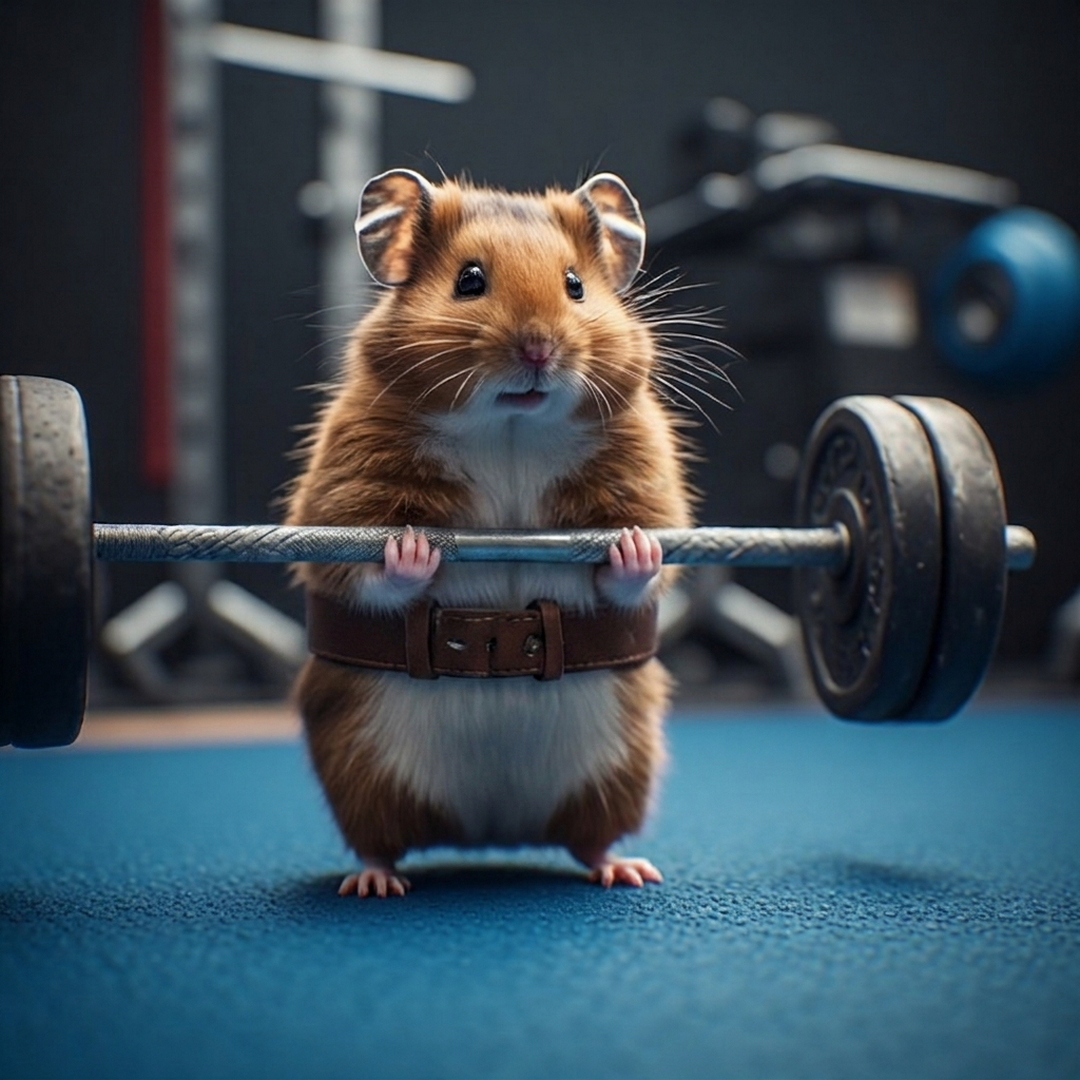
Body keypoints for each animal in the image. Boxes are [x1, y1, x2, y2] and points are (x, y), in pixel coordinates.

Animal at [287, 168, 694, 897]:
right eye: (469, 280)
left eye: (575, 285)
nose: (539, 349)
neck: (511, 427)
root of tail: (489, 831)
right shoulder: (339, 495)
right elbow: (364, 568)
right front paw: (412, 546)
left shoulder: (645, 480)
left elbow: (642, 564)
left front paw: (632, 546)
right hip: (360, 770)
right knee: (379, 842)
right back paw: (373, 884)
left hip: (620, 770)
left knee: (590, 840)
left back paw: (627, 870)